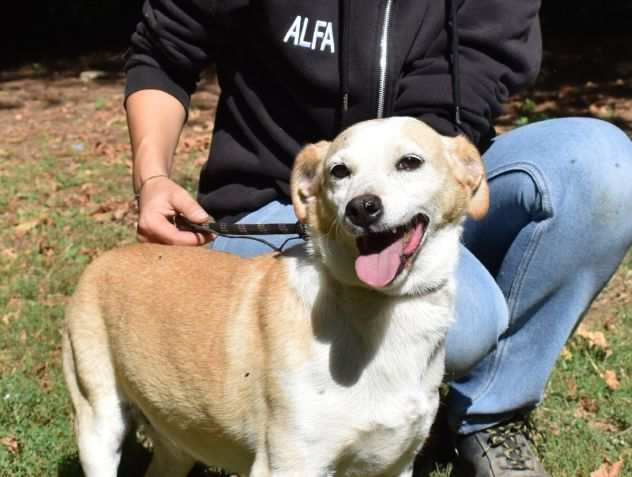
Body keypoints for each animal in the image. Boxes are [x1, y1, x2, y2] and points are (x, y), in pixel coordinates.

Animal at [63, 116, 488, 476]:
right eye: (338, 171)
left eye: (410, 162)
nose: (362, 208)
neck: (379, 310)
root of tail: (103, 259)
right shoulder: (288, 463)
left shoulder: (395, 464)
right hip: (99, 422)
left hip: (177, 440)